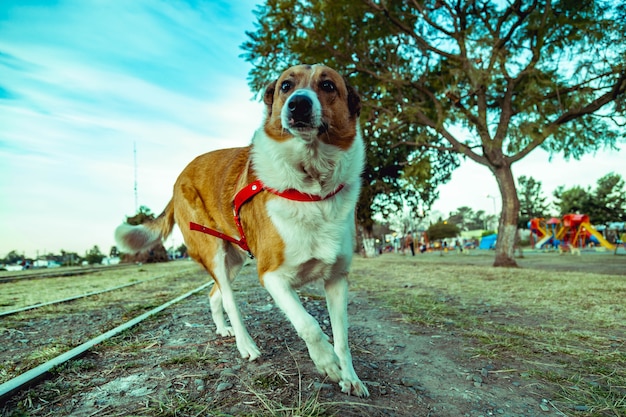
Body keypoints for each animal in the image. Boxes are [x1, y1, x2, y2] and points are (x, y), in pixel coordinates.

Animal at [114, 64, 368, 396]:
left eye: (327, 85)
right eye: (286, 85)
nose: (298, 104)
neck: (310, 189)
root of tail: (178, 179)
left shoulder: (337, 279)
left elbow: (343, 338)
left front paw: (350, 377)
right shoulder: (272, 276)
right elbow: (309, 324)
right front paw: (326, 361)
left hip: (234, 258)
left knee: (214, 295)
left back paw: (224, 329)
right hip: (215, 253)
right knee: (229, 301)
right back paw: (245, 344)